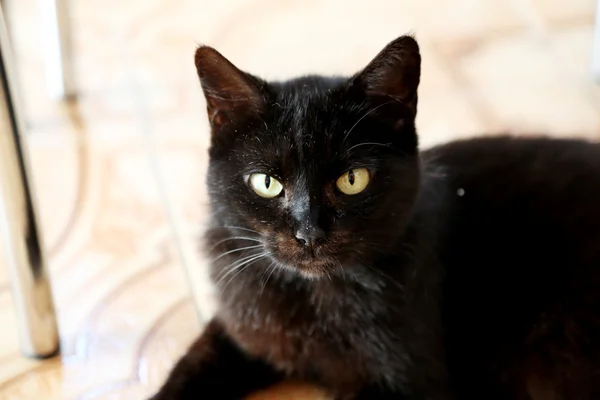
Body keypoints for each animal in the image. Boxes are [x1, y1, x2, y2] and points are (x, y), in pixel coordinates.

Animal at [149, 35, 600, 400]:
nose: (309, 233)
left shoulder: (406, 382)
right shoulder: (242, 327)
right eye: (266, 182)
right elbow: (191, 367)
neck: (310, 298)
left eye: (353, 179)